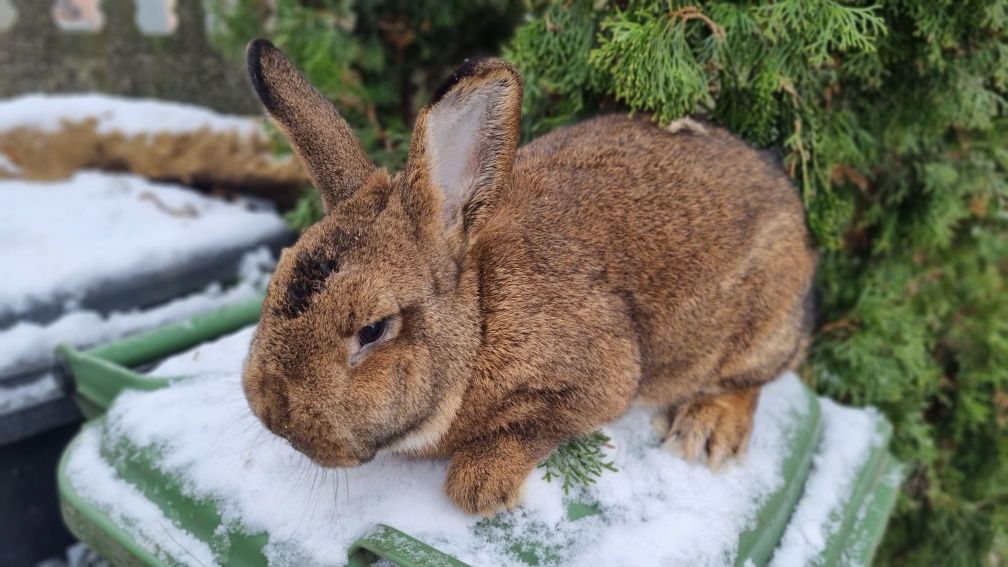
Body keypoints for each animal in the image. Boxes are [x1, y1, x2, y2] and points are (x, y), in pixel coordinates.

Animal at [239, 39, 814, 514]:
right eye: (276, 278)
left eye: (373, 330)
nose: (271, 411)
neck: (481, 321)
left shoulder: (602, 375)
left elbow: (542, 424)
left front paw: (480, 484)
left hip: (757, 331)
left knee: (754, 378)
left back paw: (706, 431)